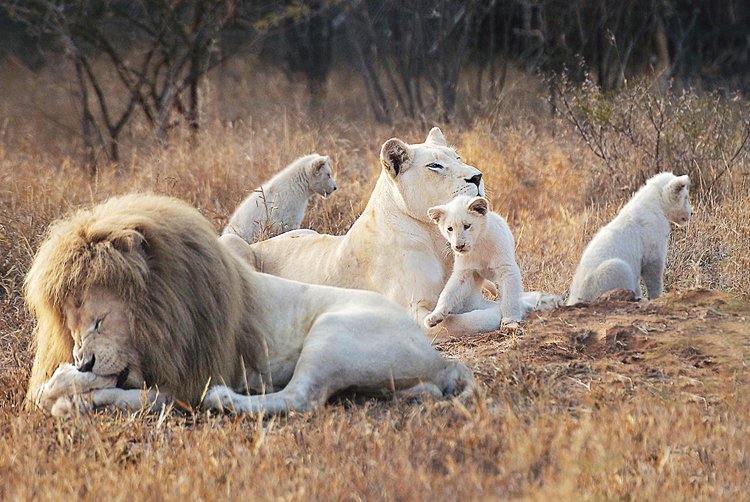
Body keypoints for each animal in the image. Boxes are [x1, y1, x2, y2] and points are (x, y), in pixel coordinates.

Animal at [27, 194, 482, 418]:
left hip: (332, 335)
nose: (83, 359)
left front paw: (70, 392)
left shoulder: (188, 381)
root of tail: (438, 357)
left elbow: (141, 397)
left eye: (99, 321)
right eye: (71, 327)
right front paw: (67, 390)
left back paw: (224, 401)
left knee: (301, 398)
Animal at [426, 195, 524, 330]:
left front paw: (510, 321)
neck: (478, 244)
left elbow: (510, 297)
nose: (459, 246)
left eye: (467, 226)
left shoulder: (506, 269)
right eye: (450, 229)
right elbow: (447, 293)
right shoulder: (464, 273)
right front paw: (435, 316)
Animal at [568, 173, 692, 304]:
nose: (691, 213)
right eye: (686, 197)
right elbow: (653, 271)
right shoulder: (652, 239)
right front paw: (657, 295)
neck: (655, 203)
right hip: (610, 272)